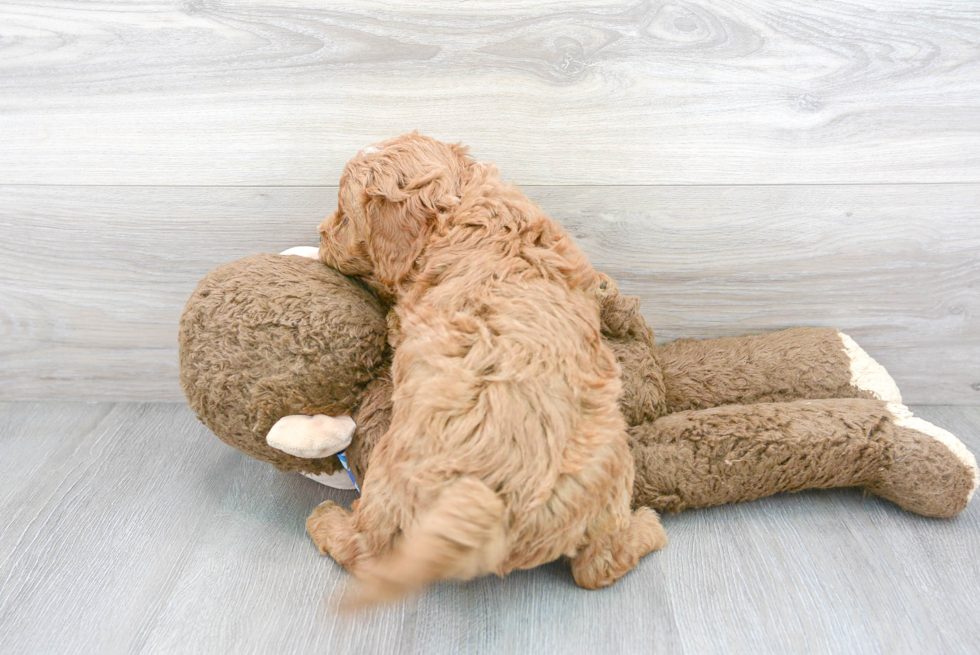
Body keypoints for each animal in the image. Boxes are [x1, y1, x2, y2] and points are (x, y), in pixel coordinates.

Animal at [310, 133, 668, 604]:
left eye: (345, 215)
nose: (319, 235)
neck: (460, 204)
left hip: (390, 473)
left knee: (366, 548)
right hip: (611, 465)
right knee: (598, 565)